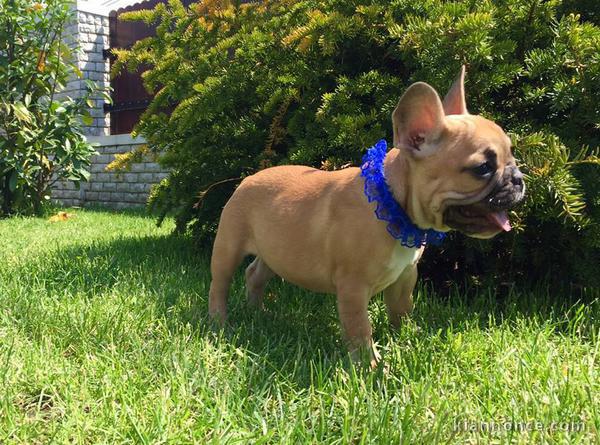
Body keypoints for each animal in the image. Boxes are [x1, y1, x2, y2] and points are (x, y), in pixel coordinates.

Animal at [207, 66, 524, 364]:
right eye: (482, 168)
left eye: (512, 156)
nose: (519, 179)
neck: (393, 203)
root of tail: (248, 179)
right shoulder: (353, 287)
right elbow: (360, 329)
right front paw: (369, 367)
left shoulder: (404, 277)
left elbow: (400, 312)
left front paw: (407, 340)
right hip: (228, 247)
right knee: (220, 283)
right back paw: (220, 322)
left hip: (275, 252)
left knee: (255, 274)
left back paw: (257, 312)